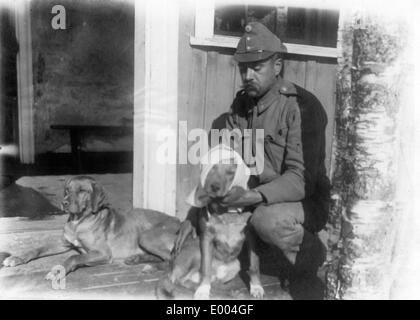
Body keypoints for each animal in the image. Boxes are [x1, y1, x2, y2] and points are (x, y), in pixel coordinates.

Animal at [2, 176, 180, 282]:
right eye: (67, 190)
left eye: (82, 191)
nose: (64, 203)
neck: (78, 222)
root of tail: (180, 222)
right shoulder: (63, 243)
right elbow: (38, 248)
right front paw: (17, 258)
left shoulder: (103, 253)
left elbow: (74, 257)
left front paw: (58, 272)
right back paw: (136, 259)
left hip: (146, 236)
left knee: (171, 259)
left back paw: (150, 266)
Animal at [156, 145, 264, 300]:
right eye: (212, 168)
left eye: (231, 172)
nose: (214, 187)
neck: (227, 211)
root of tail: (172, 266)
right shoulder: (206, 238)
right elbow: (205, 268)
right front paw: (203, 290)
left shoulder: (251, 237)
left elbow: (254, 265)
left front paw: (256, 287)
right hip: (196, 253)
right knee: (179, 281)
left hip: (233, 267)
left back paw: (227, 292)